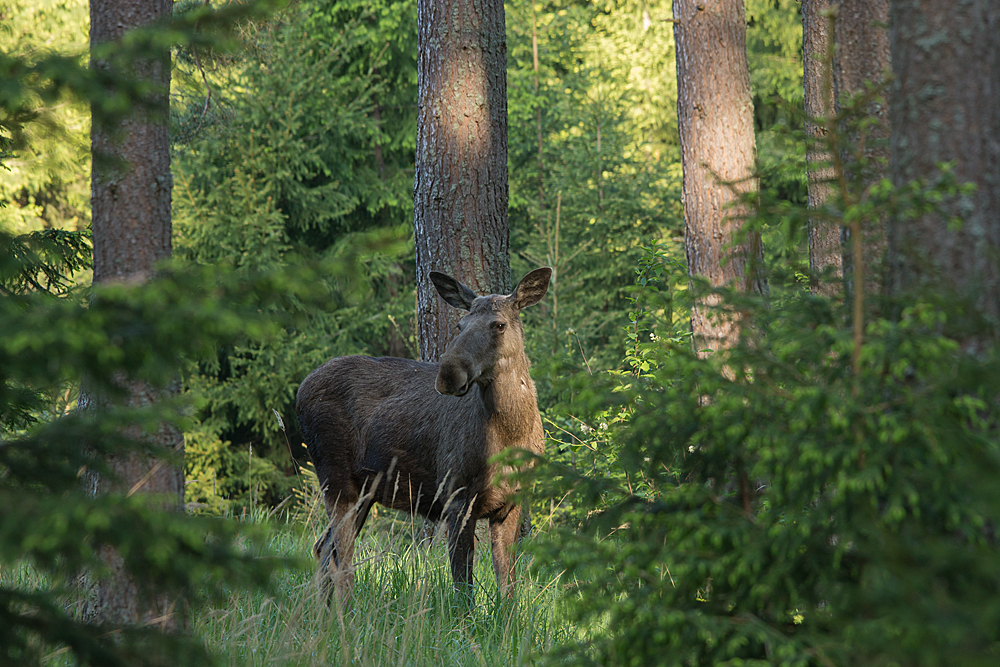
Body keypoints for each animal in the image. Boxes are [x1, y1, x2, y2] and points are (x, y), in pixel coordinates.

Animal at [296, 268, 552, 604]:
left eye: (499, 324)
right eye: (459, 325)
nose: (448, 374)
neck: (510, 435)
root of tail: (299, 392)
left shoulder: (511, 502)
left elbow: (507, 586)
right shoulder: (456, 495)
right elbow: (463, 588)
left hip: (364, 489)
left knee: (324, 548)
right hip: (336, 476)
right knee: (342, 559)